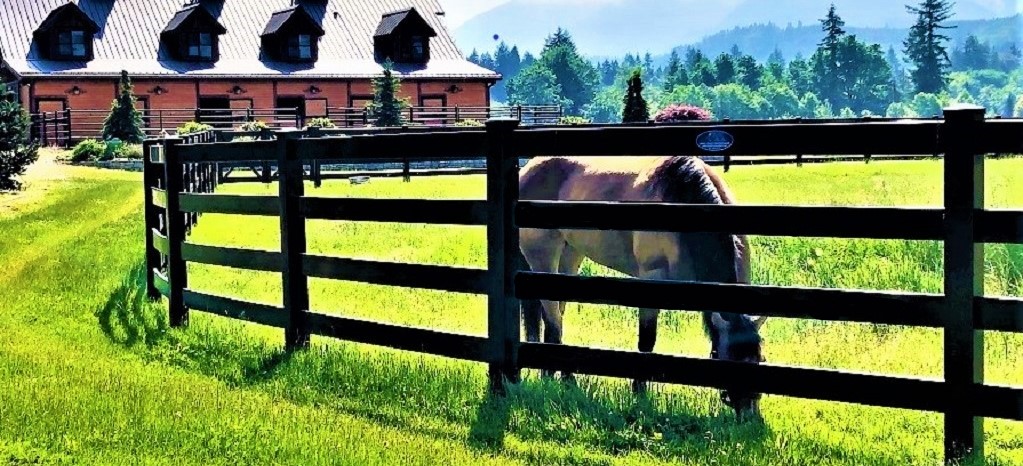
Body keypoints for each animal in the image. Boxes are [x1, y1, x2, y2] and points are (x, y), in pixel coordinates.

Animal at [519, 155, 769, 423]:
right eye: (730, 361)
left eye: (760, 359)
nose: (751, 418)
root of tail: (529, 169)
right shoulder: (651, 281)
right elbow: (647, 341)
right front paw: (639, 395)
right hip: (543, 258)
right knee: (553, 321)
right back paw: (560, 379)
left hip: (570, 256)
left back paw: (557, 378)